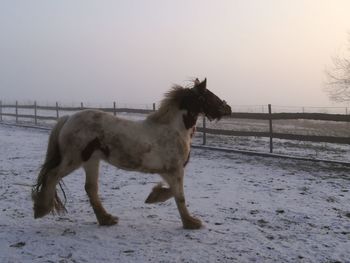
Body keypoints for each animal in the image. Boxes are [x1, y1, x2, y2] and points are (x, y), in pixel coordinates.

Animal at [31, 78, 231, 229]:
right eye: (209, 95)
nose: (227, 108)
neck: (173, 129)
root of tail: (68, 118)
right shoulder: (175, 170)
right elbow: (179, 195)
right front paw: (191, 222)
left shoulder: (168, 171)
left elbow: (172, 192)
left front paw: (153, 196)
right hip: (74, 159)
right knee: (52, 175)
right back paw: (41, 209)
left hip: (91, 161)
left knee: (90, 188)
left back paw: (107, 219)